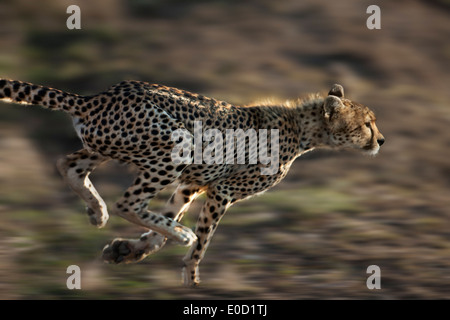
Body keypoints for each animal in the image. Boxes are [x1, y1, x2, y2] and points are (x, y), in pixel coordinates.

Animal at [0, 79, 384, 284]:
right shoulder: (222, 191)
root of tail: (98, 96)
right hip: (174, 144)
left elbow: (164, 224)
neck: (303, 129)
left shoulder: (192, 185)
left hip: (107, 145)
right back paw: (165, 230)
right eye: (367, 123)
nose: (381, 140)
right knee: (128, 201)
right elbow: (203, 238)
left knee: (69, 164)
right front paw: (190, 271)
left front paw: (129, 251)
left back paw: (97, 211)